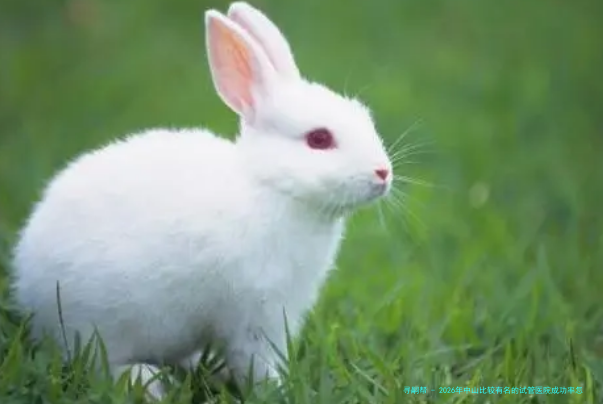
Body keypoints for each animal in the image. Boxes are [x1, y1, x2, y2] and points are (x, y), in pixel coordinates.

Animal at [10, 1, 393, 400]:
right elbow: (257, 362)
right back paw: (148, 382)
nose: (383, 172)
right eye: (319, 139)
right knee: (100, 364)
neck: (271, 187)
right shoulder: (257, 315)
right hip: (98, 324)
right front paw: (277, 391)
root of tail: (28, 287)